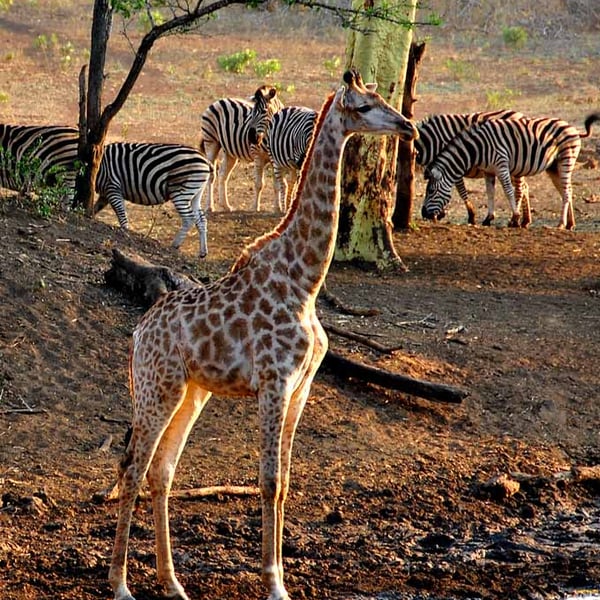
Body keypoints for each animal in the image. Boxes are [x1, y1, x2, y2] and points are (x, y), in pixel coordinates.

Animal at [108, 68, 418, 600]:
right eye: (362, 107)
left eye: (382, 97)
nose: (407, 126)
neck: (305, 281)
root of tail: (137, 335)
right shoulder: (274, 382)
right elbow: (268, 480)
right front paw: (273, 583)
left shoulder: (302, 386)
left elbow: (286, 481)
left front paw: (280, 579)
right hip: (156, 388)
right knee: (134, 467)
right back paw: (121, 584)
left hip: (191, 392)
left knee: (162, 472)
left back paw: (173, 584)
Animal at [420, 113, 600, 231]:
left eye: (430, 191)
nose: (423, 214)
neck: (477, 148)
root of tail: (573, 128)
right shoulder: (488, 171)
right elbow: (490, 193)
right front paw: (488, 218)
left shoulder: (501, 164)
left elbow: (507, 191)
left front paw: (514, 217)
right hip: (553, 167)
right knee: (566, 191)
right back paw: (570, 223)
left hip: (565, 160)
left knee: (565, 191)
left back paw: (561, 223)